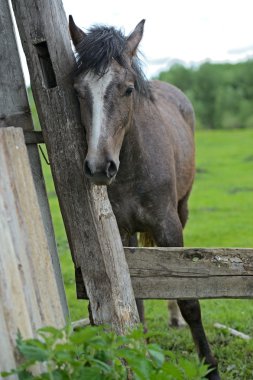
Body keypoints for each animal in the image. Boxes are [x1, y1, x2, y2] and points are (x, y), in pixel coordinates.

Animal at [68, 15, 219, 380]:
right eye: (78, 91)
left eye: (128, 88)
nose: (99, 166)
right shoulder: (122, 233)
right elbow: (134, 294)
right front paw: (140, 350)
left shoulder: (169, 226)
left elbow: (188, 297)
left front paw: (210, 366)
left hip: (182, 208)